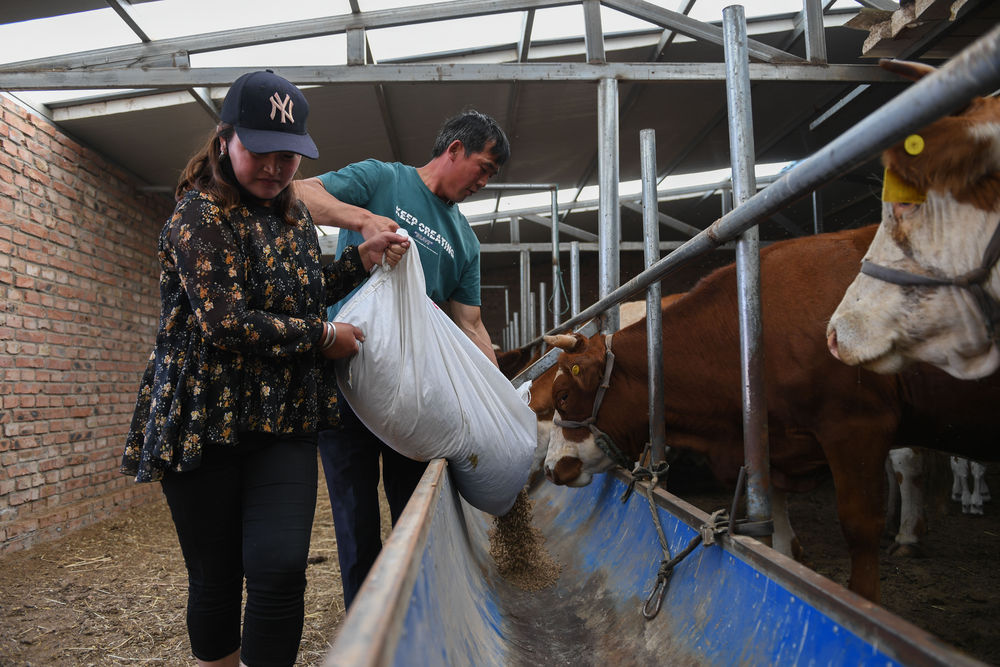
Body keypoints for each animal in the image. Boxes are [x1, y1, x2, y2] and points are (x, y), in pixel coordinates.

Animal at [544, 226, 1000, 604]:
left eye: (563, 395)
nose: (551, 469)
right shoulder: (767, 440)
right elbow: (776, 520)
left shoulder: (856, 425)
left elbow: (859, 523)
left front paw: (865, 600)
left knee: (908, 465)